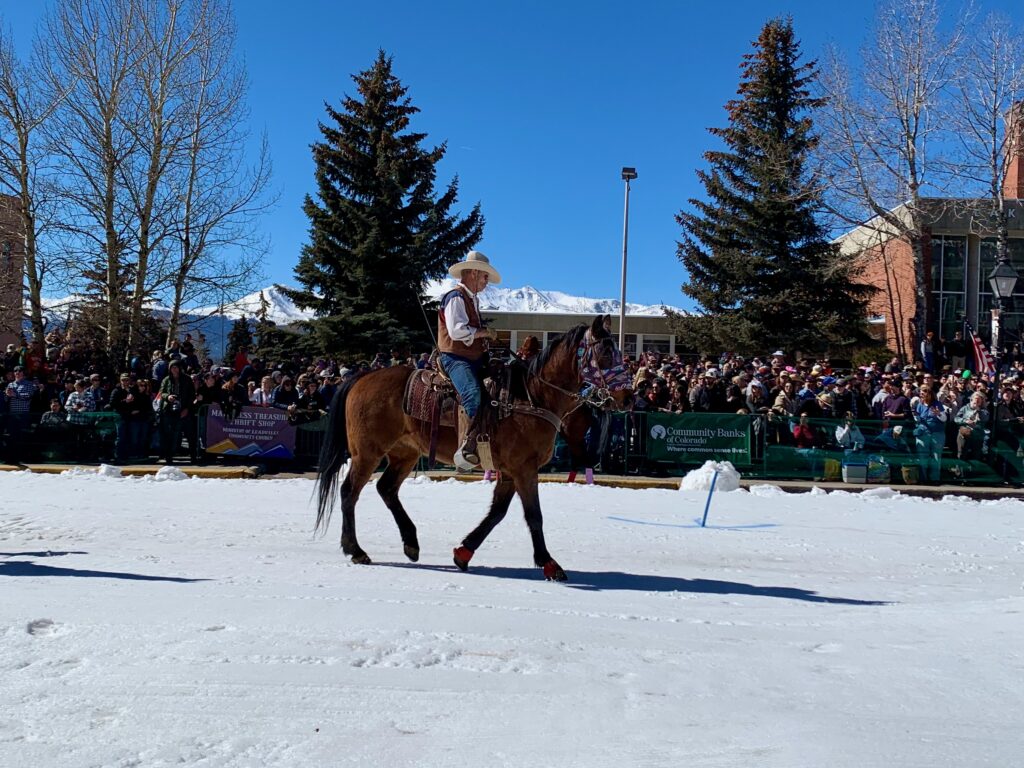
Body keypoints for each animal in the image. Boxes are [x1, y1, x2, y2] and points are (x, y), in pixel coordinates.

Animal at [315, 315, 626, 581]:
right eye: (606, 353)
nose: (627, 395)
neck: (531, 396)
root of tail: (360, 378)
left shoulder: (510, 471)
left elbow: (497, 513)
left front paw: (463, 553)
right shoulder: (524, 469)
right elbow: (533, 515)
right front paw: (550, 564)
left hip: (405, 453)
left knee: (386, 489)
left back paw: (411, 543)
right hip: (367, 453)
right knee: (349, 492)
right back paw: (356, 550)